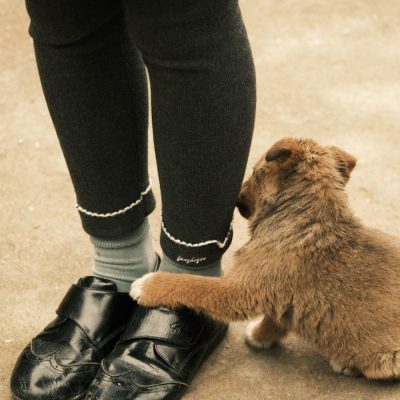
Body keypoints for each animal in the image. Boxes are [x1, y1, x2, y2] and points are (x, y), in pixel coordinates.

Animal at [130, 139, 400, 380]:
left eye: (253, 172)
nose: (236, 198)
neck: (306, 221)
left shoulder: (238, 291)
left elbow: (191, 284)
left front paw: (148, 285)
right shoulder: (276, 293)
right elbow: (276, 319)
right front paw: (260, 336)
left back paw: (347, 364)